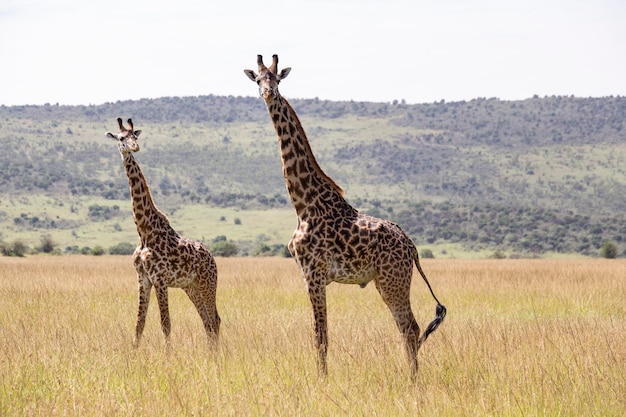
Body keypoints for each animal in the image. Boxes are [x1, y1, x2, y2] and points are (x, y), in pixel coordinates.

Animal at [103, 118, 218, 348]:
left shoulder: (160, 279)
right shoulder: (143, 279)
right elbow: (139, 324)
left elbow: (165, 324)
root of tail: (213, 260)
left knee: (215, 320)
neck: (144, 231)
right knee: (207, 322)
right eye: (121, 138)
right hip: (191, 287)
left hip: (208, 283)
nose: (135, 147)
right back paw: (211, 353)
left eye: (135, 136)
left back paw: (218, 354)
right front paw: (133, 352)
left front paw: (168, 355)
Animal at [244, 55, 444, 376]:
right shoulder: (313, 275)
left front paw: (321, 380)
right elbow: (321, 333)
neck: (303, 203)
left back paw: (412, 380)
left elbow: (320, 335)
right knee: (409, 328)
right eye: (259, 80)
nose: (268, 94)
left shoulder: (313, 273)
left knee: (410, 327)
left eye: (277, 79)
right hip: (386, 281)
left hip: (393, 280)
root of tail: (412, 247)